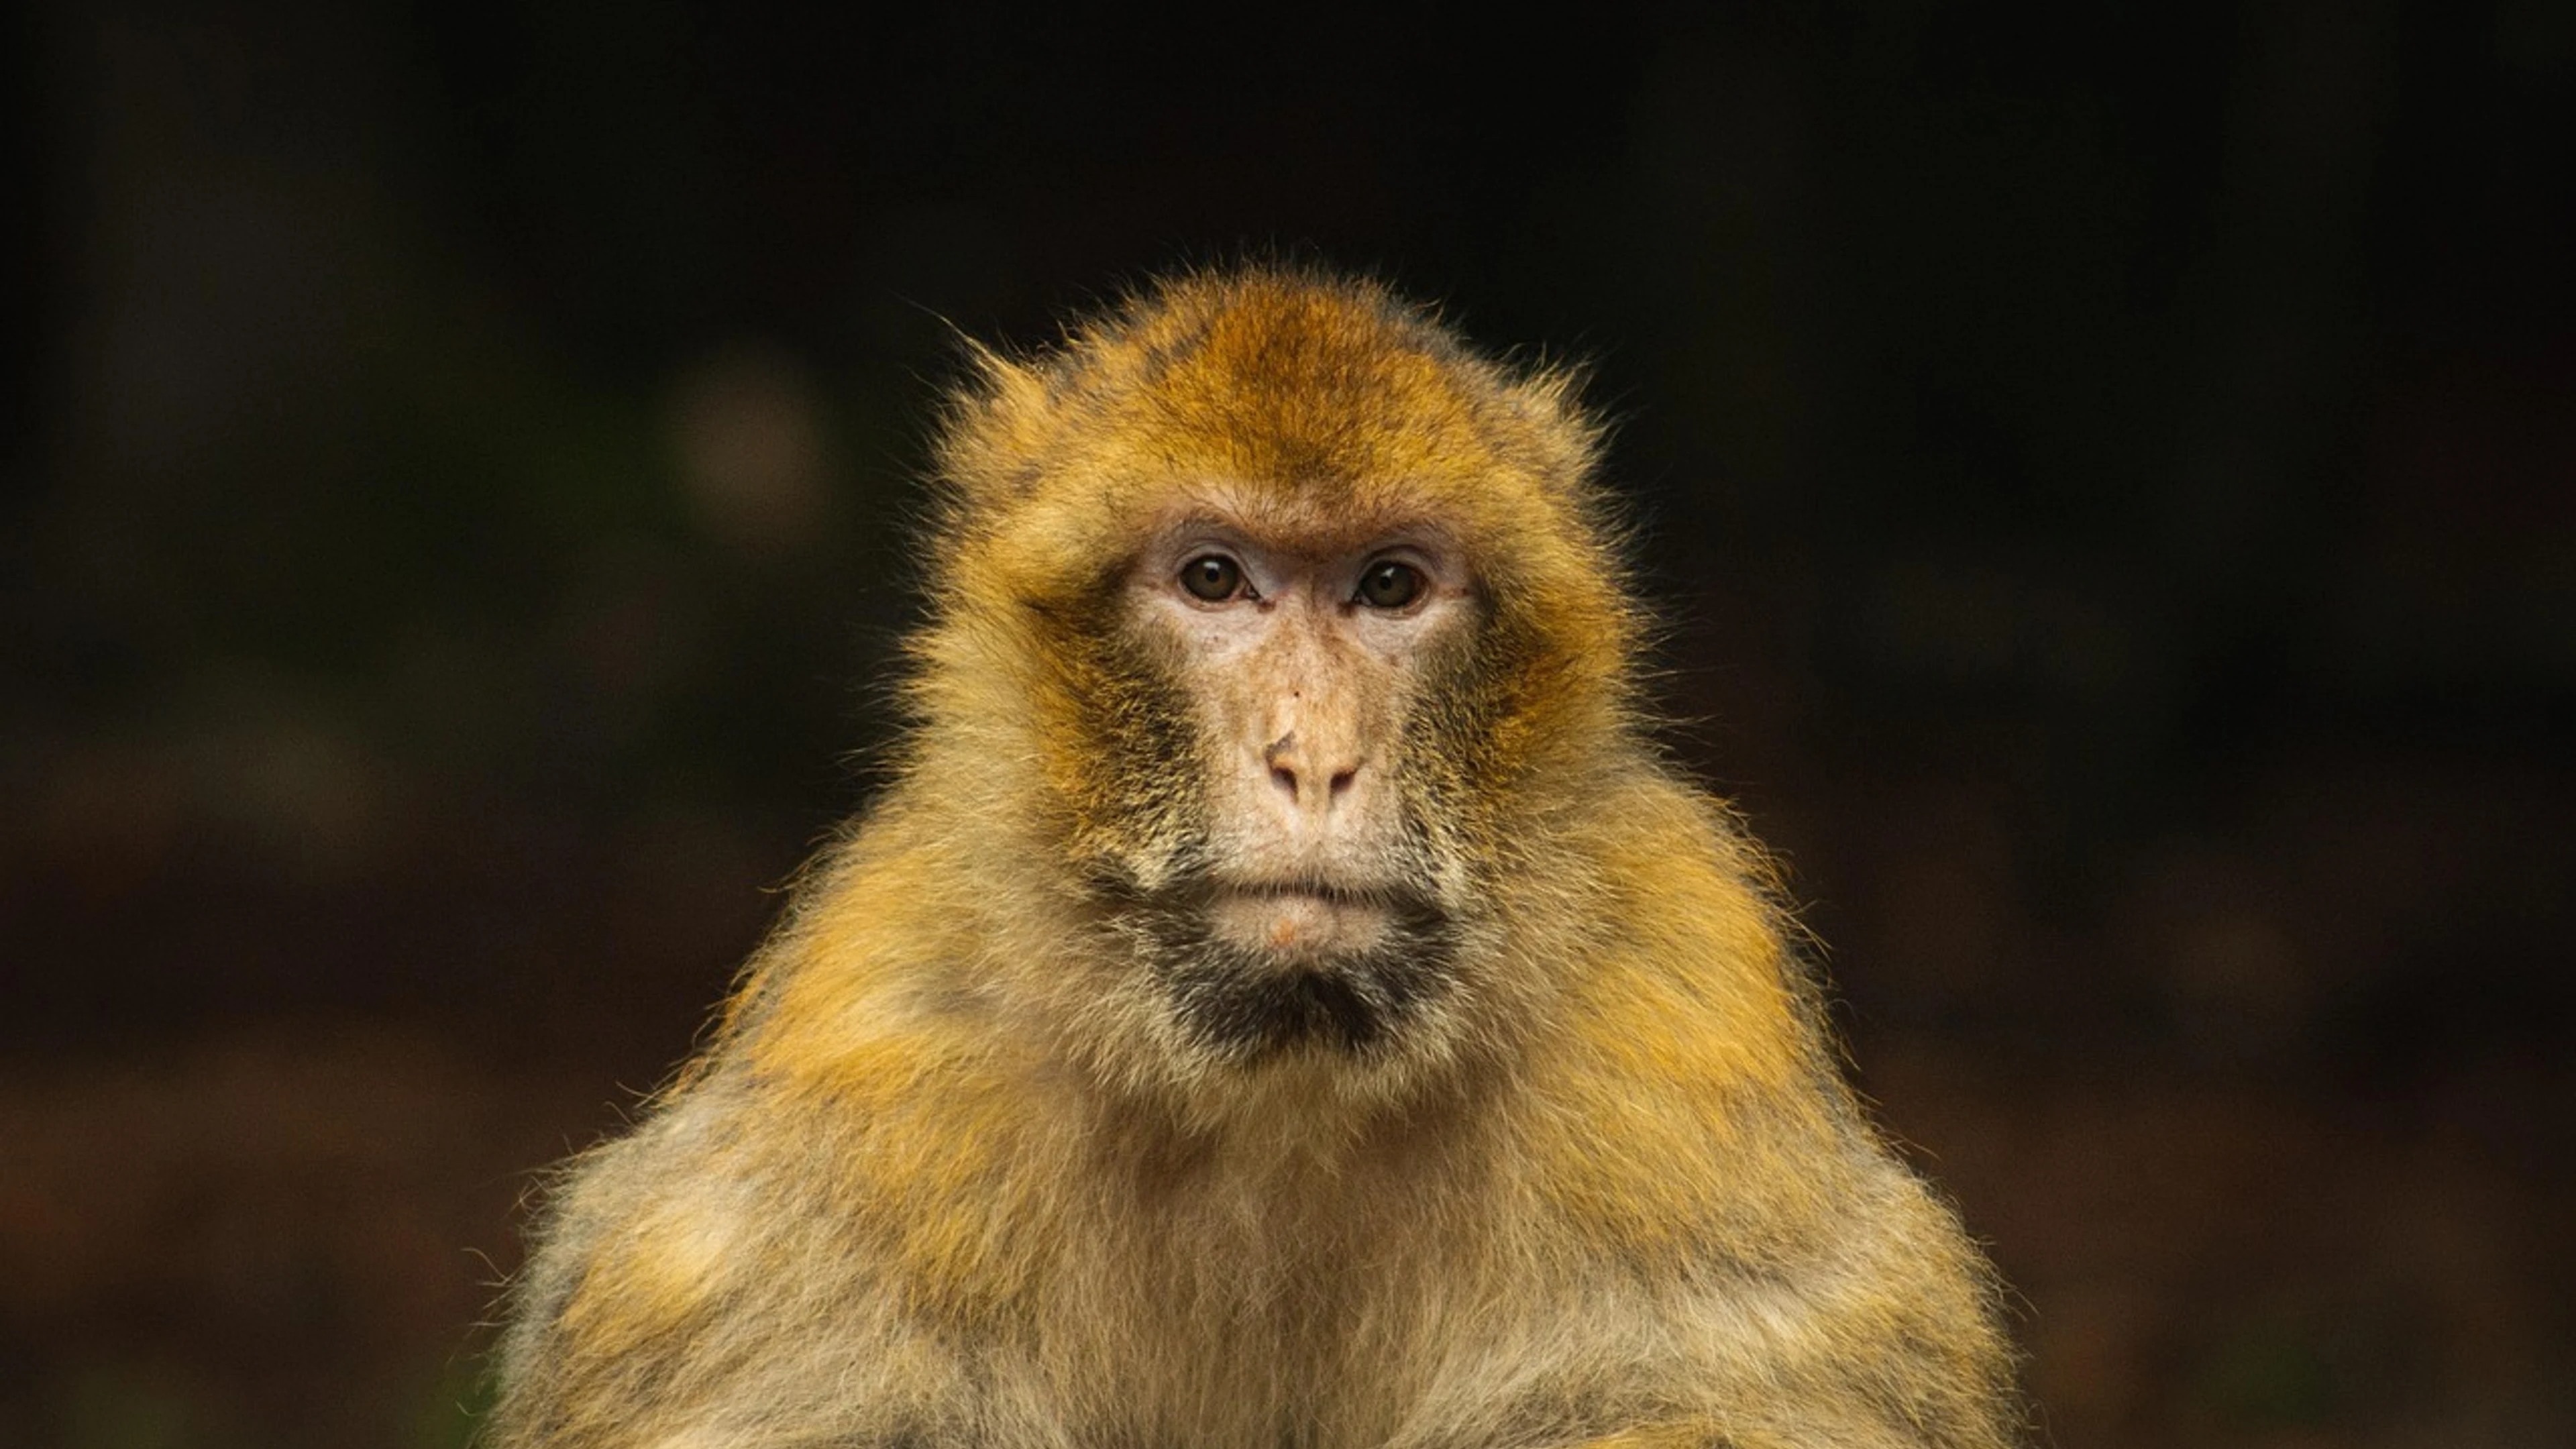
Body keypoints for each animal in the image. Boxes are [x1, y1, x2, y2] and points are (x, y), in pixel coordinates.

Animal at [487, 266, 2021, 1449]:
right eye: (1214, 579)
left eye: (1390, 585)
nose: (1312, 758)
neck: (1280, 1081)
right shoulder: (883, 1028)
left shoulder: (1679, 1010)